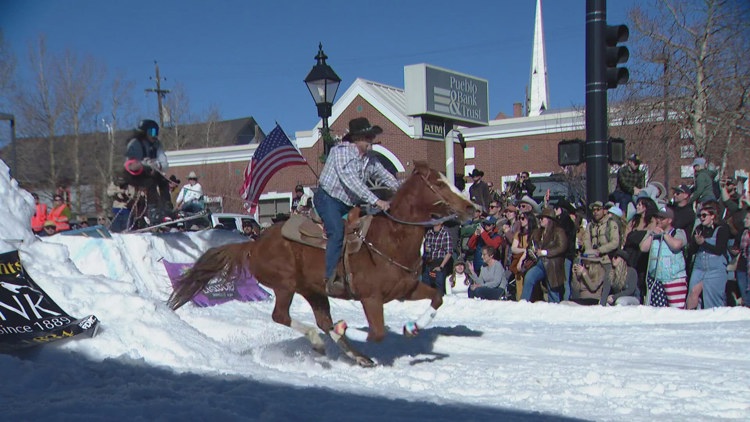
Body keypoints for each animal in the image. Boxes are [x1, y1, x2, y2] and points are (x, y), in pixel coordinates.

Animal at [169, 162, 476, 366]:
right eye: (439, 184)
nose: (471, 207)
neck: (391, 237)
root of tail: (254, 243)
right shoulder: (371, 298)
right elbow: (377, 333)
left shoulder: (406, 289)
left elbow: (437, 297)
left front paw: (413, 327)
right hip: (285, 285)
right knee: (282, 316)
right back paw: (320, 342)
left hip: (313, 290)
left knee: (322, 320)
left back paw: (357, 355)